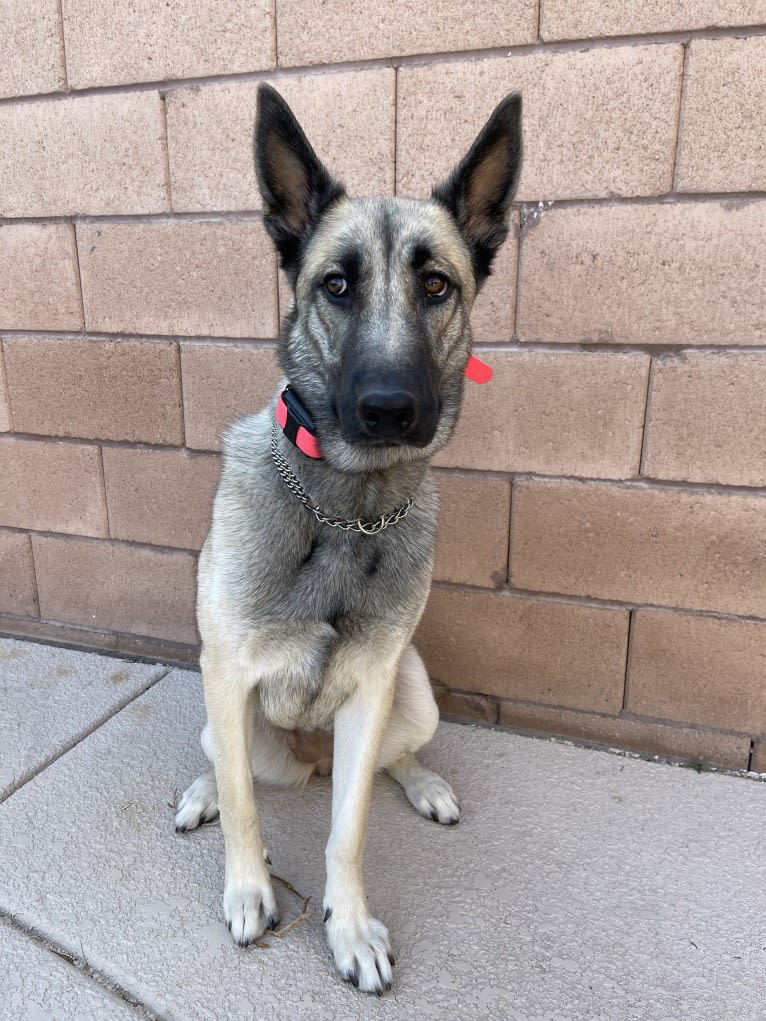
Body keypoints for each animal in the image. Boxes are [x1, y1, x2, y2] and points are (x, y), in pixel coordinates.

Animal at [175, 83, 522, 992]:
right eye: (336, 284)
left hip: (413, 690)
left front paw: (351, 925)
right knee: (234, 766)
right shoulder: (227, 672)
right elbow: (248, 811)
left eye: (436, 284)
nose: (390, 409)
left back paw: (422, 782)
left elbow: (349, 831)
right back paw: (205, 790)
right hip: (223, 710)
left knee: (382, 762)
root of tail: (312, 758)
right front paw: (250, 888)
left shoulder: (370, 689)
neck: (346, 503)